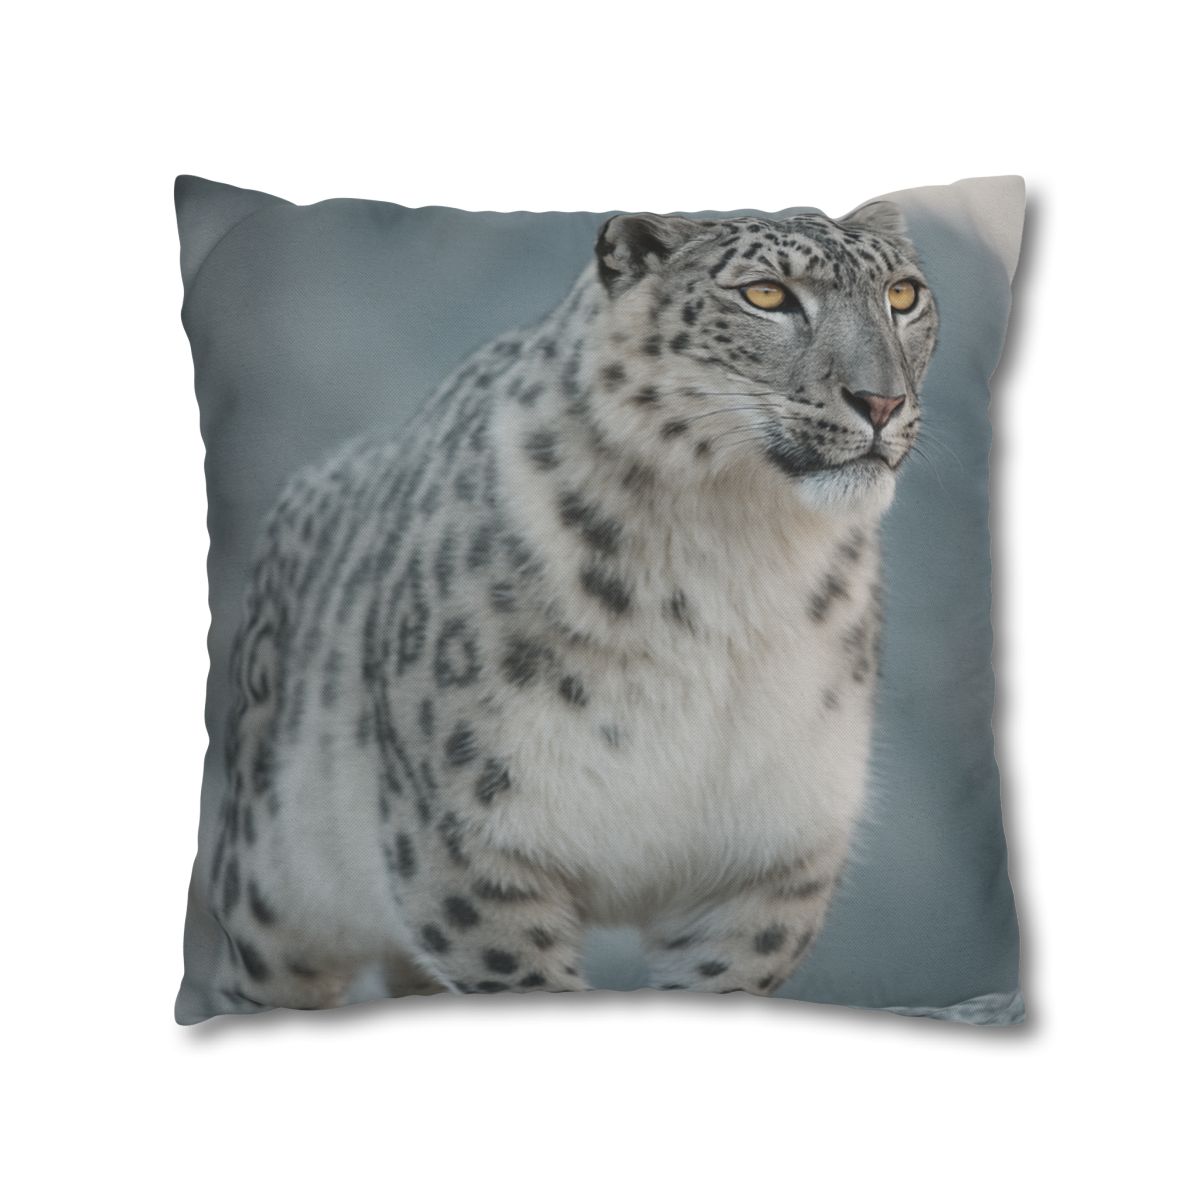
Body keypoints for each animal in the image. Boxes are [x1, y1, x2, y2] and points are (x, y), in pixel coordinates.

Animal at [206, 200, 939, 1011]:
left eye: (903, 295)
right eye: (767, 295)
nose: (882, 400)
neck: (740, 557)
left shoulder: (771, 856)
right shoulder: (469, 838)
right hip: (274, 889)